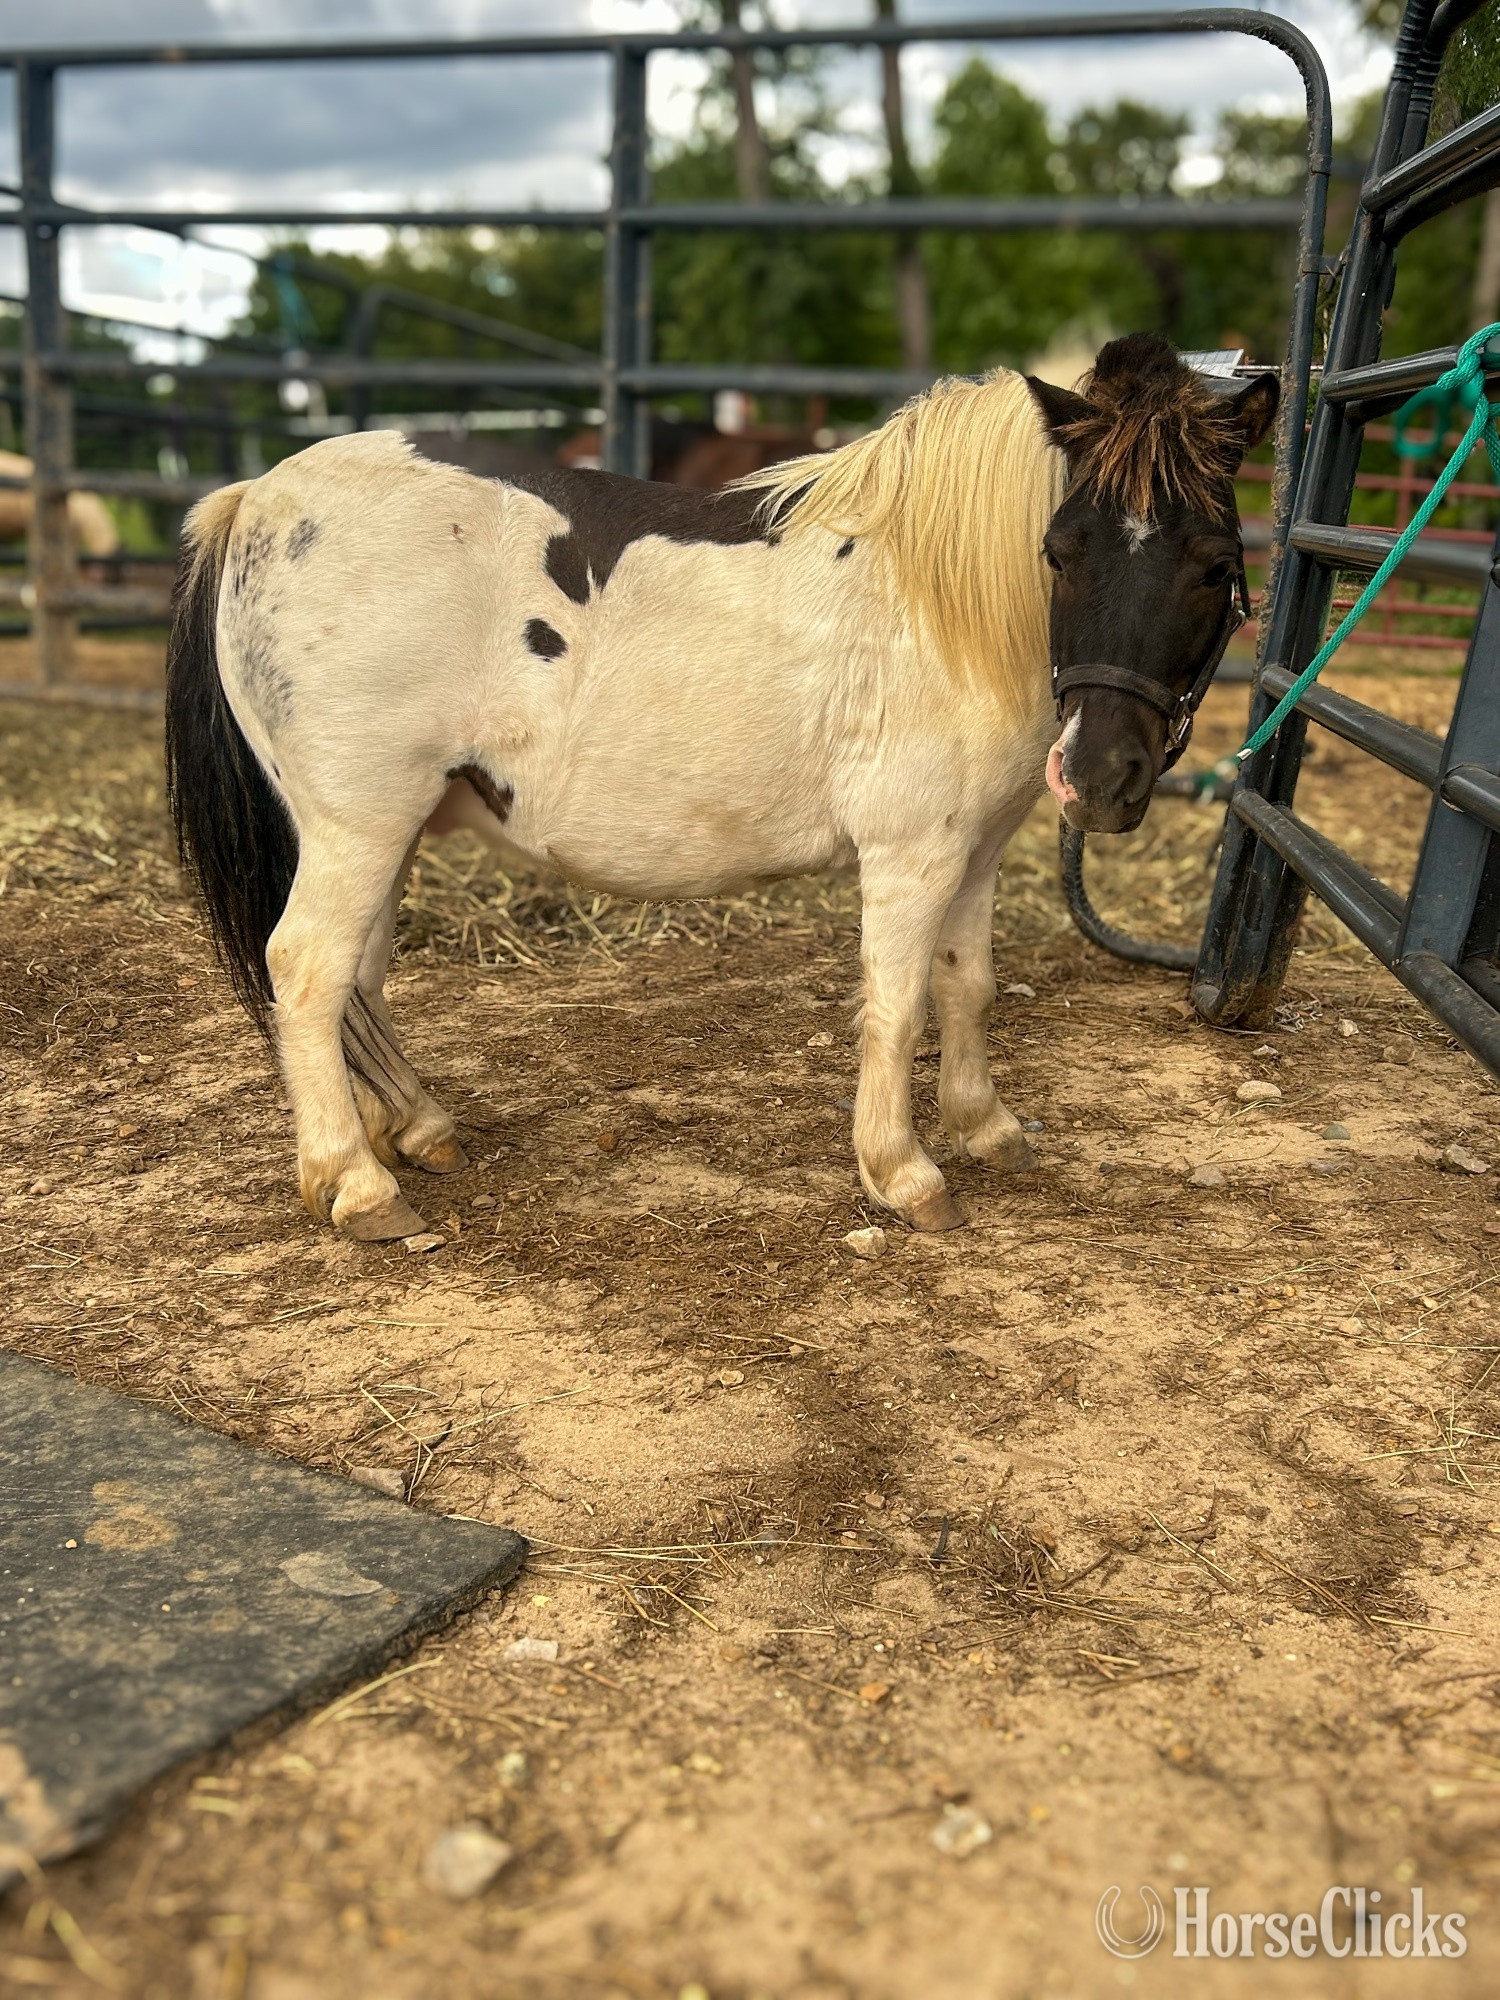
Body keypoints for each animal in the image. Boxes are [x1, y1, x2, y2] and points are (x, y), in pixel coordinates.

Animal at [164, 333, 1276, 1242]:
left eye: (1215, 563)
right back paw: (355, 1184)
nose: (1103, 777)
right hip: (358, 825)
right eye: (1061, 550)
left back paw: (417, 1129)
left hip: (384, 831)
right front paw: (902, 1172)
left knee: (359, 978)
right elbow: (899, 1002)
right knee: (308, 970)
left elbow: (968, 986)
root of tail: (256, 499)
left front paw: (985, 1126)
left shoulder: (977, 847)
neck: (941, 603)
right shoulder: (911, 853)